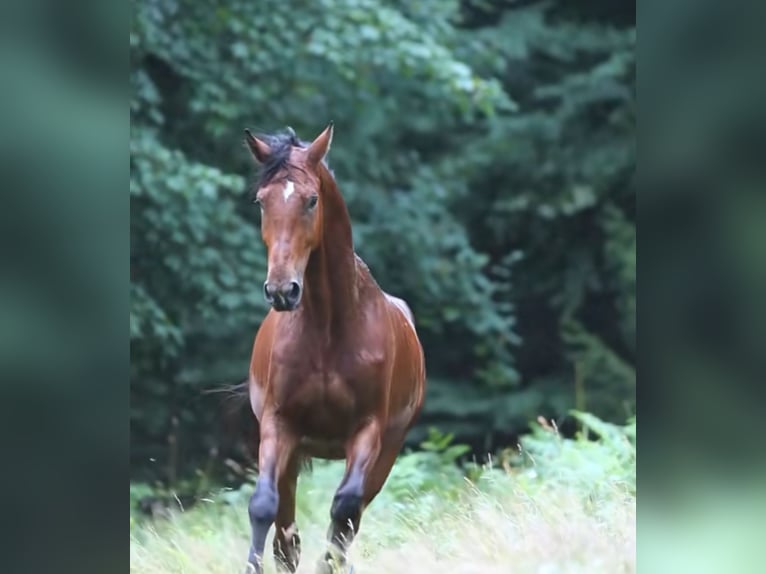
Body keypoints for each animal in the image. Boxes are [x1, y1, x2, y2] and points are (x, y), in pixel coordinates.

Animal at [241, 123, 427, 573]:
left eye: (311, 200)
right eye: (261, 201)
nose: (282, 290)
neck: (328, 329)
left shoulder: (368, 431)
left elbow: (344, 510)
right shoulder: (279, 423)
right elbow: (263, 505)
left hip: (386, 453)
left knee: (350, 513)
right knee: (285, 527)